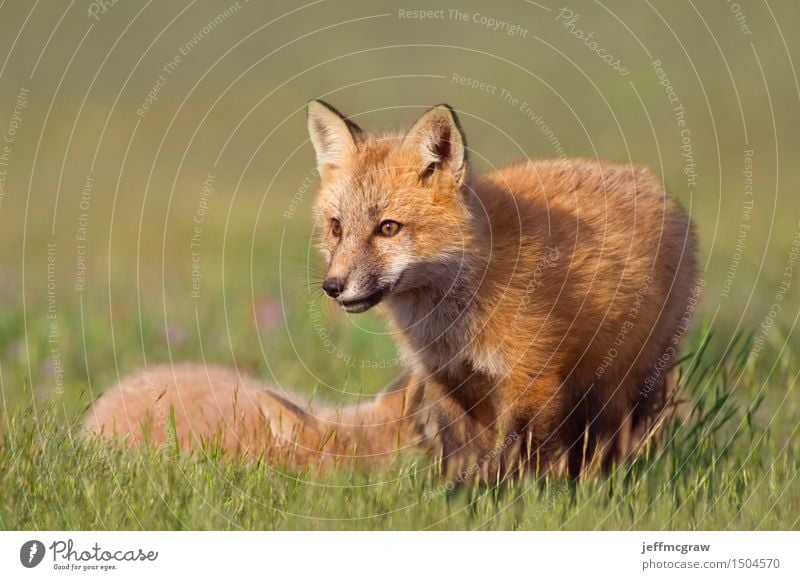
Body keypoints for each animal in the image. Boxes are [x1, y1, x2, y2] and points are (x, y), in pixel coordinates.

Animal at [84, 101, 696, 480]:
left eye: (388, 228)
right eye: (336, 227)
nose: (333, 287)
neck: (452, 314)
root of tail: (651, 184)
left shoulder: (533, 377)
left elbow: (515, 458)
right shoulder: (448, 379)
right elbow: (465, 454)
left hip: (624, 383)